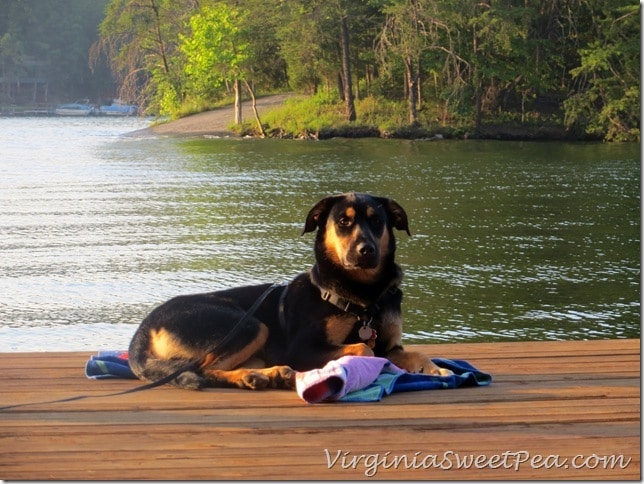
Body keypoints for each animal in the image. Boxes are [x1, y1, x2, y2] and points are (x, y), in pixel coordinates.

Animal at [128, 191, 450, 392]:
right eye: (343, 222)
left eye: (377, 220)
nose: (366, 251)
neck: (364, 296)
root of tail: (144, 327)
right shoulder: (302, 349)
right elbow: (364, 348)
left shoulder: (392, 346)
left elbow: (415, 352)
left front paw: (437, 370)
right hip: (247, 324)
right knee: (202, 369)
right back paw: (250, 378)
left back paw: (270, 375)